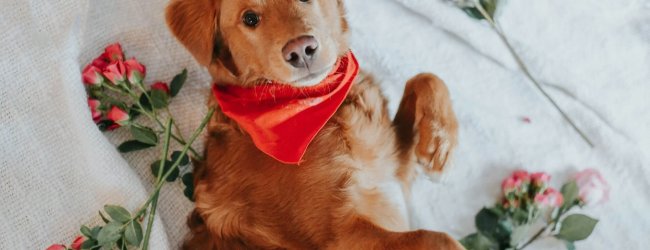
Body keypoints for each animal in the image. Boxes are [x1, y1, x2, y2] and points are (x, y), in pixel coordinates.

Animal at [165, 0, 464, 249]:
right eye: (250, 18)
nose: (301, 50)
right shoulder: (342, 235)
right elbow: (440, 238)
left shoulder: (396, 166)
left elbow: (426, 77)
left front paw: (438, 148)